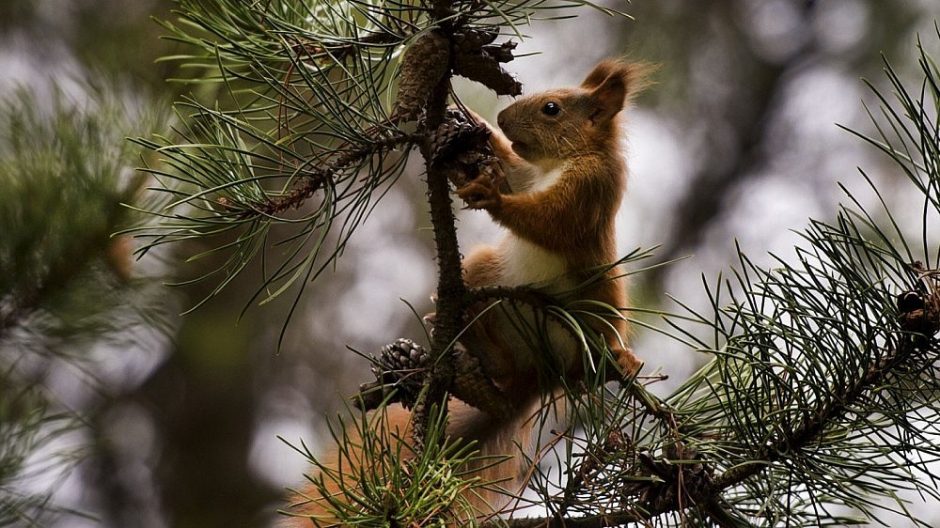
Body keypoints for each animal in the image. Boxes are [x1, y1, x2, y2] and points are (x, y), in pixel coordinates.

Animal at [280, 59, 648, 524]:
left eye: (552, 109)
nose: (504, 118)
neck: (556, 164)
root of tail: (541, 373)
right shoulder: (526, 175)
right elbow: (512, 171)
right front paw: (470, 125)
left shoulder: (589, 189)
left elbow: (548, 221)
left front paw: (491, 195)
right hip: (485, 276)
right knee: (499, 365)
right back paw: (464, 338)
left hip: (599, 307)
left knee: (590, 356)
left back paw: (618, 358)